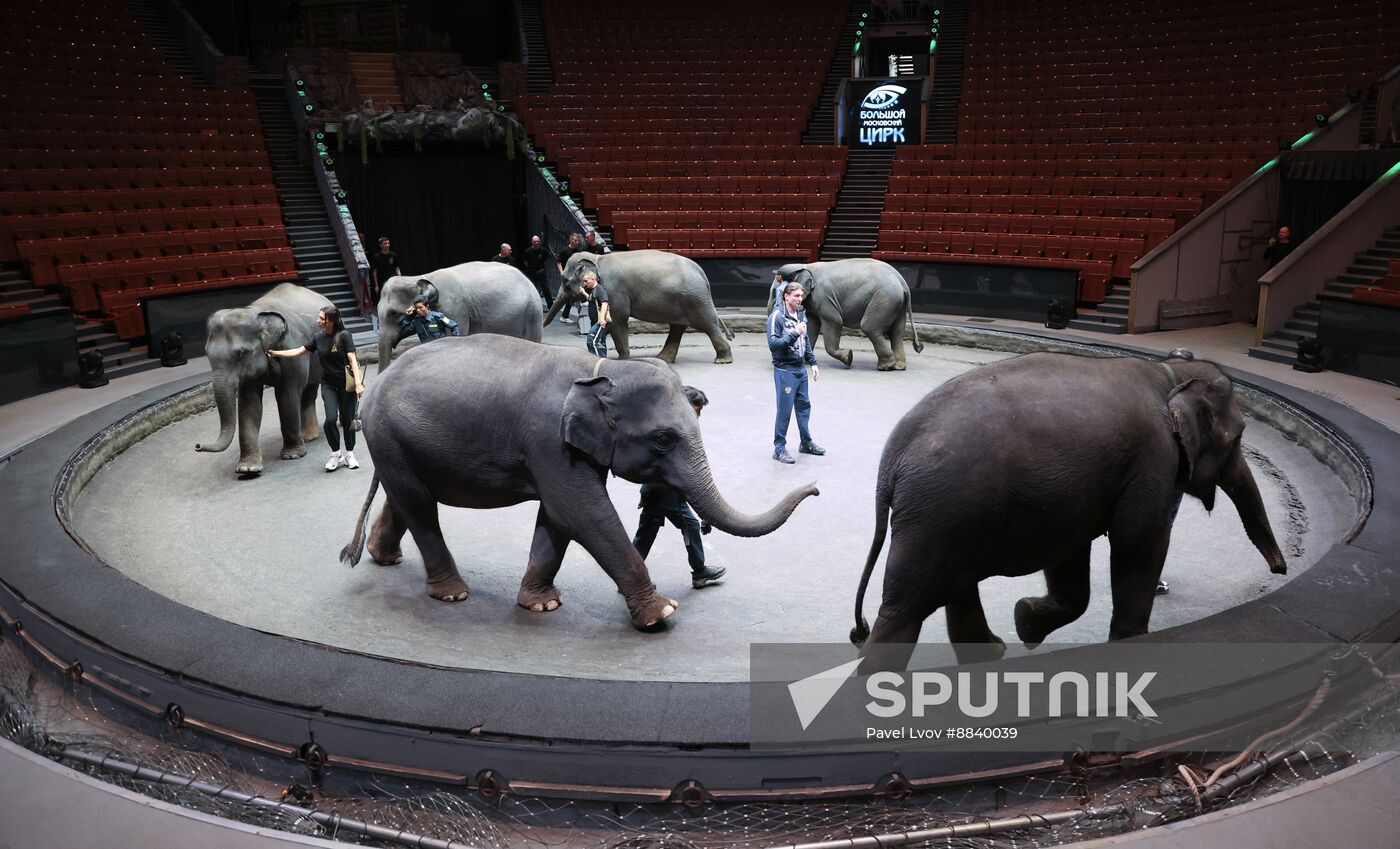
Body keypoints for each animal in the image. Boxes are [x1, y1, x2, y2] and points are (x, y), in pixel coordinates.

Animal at [194, 283, 330, 476]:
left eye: (241, 354)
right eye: (207, 355)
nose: (197, 446)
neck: (256, 312)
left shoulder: (292, 348)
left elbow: (287, 395)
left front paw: (292, 456)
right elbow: (249, 404)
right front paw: (248, 468)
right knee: (309, 390)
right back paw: (309, 436)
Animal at [341, 336, 817, 627]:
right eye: (663, 439)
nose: (815, 488)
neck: (602, 370)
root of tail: (376, 381)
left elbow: (557, 518)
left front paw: (543, 604)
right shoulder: (549, 441)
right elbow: (582, 512)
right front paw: (662, 613)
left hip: (398, 442)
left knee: (406, 497)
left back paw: (386, 558)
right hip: (387, 434)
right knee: (419, 505)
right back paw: (453, 595)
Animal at [543, 247, 739, 364]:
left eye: (566, 282)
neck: (597, 258)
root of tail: (700, 271)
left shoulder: (614, 290)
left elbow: (617, 320)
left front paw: (622, 360)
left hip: (696, 300)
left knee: (708, 325)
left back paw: (722, 360)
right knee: (677, 327)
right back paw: (663, 358)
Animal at [772, 259, 924, 372]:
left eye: (775, 292)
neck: (803, 266)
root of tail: (902, 282)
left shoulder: (823, 298)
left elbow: (834, 321)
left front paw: (848, 358)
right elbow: (812, 326)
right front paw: (804, 361)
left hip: (884, 301)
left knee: (870, 328)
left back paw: (885, 367)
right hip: (897, 305)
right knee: (896, 333)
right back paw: (898, 367)